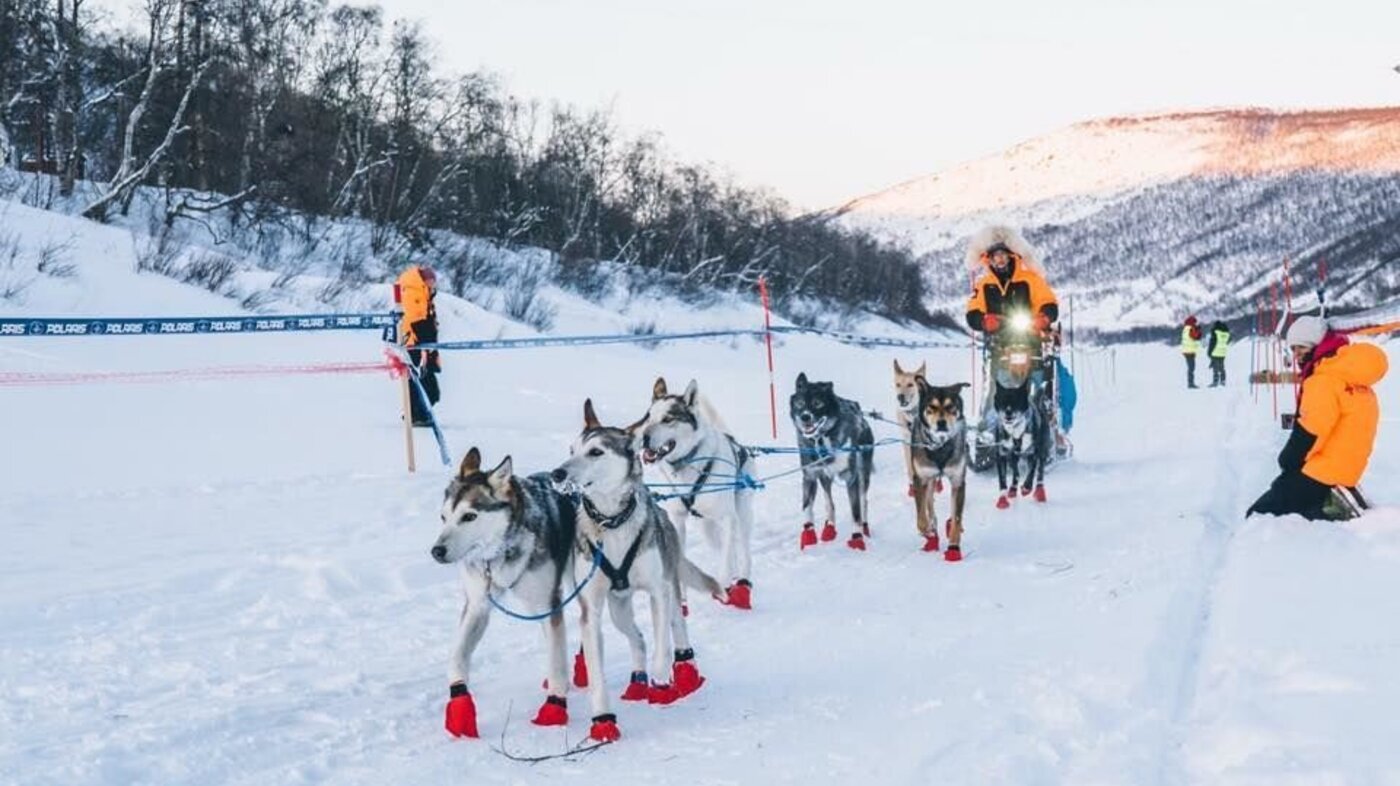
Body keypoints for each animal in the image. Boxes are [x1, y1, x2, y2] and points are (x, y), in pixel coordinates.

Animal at [428, 448, 576, 734]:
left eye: (469, 516)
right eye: (443, 517)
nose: (436, 551)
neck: (500, 552)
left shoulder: (548, 603)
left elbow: (556, 662)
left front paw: (555, 705)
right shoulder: (478, 605)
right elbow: (457, 657)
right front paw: (460, 704)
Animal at [548, 400, 722, 739]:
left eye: (596, 452)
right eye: (572, 449)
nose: (557, 472)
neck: (611, 523)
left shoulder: (657, 592)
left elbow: (662, 646)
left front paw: (662, 682)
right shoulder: (591, 610)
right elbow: (597, 671)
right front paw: (602, 718)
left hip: (671, 589)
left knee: (676, 628)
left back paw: (683, 672)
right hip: (618, 610)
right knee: (638, 638)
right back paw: (637, 680)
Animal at [641, 378, 761, 610]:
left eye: (668, 418)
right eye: (648, 416)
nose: (642, 438)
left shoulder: (728, 517)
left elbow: (725, 561)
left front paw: (723, 584)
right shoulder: (678, 522)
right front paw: (682, 600)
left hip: (741, 516)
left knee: (742, 550)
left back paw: (742, 582)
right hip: (708, 529)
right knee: (726, 548)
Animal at [789, 372, 873, 552]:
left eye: (817, 403)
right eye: (800, 403)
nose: (805, 417)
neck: (821, 440)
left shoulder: (851, 478)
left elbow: (855, 511)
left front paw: (857, 538)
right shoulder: (810, 476)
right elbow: (807, 507)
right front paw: (808, 535)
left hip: (863, 474)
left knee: (863, 501)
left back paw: (865, 528)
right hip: (825, 478)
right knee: (829, 502)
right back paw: (829, 528)